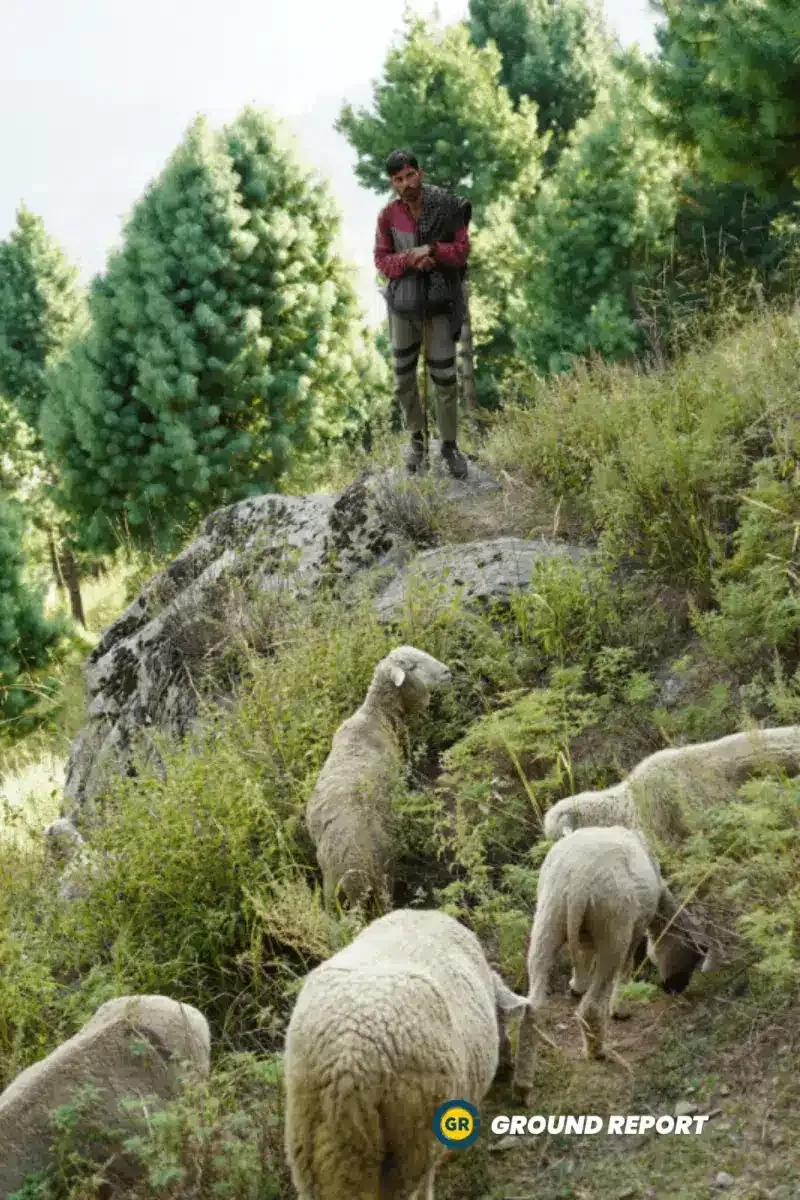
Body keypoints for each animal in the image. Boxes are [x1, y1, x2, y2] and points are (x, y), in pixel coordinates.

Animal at [305, 645, 452, 915]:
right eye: (413, 666)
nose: (448, 672)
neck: (376, 715)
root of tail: (353, 874)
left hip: (332, 889)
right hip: (382, 873)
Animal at [513, 826, 708, 1095]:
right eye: (690, 956)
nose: (675, 989)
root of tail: (579, 880)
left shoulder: (586, 937)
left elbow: (585, 956)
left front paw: (577, 985)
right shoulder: (636, 929)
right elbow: (626, 968)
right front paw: (621, 1008)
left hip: (548, 916)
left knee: (534, 1006)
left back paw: (523, 1077)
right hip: (614, 928)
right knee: (592, 1006)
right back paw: (596, 1051)